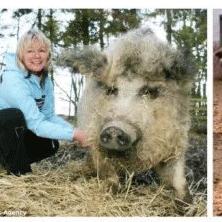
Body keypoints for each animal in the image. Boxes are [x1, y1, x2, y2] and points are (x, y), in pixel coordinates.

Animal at [59, 26, 194, 202]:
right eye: (111, 89)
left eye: (148, 91)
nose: (114, 128)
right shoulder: (93, 139)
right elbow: (107, 171)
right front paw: (111, 191)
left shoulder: (177, 141)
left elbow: (177, 176)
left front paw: (186, 202)